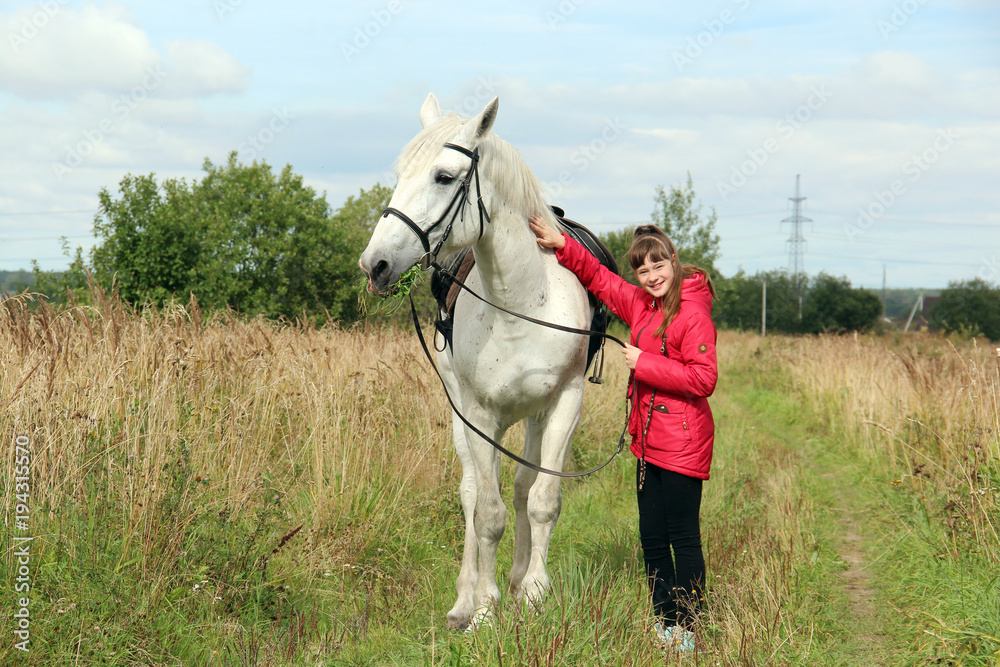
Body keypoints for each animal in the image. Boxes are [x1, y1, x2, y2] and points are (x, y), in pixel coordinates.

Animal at [360, 94, 592, 632]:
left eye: (444, 177)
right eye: (400, 173)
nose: (374, 264)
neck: (521, 304)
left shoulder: (565, 404)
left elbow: (543, 501)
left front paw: (533, 593)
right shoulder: (480, 414)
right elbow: (487, 512)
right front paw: (485, 609)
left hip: (531, 418)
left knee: (525, 488)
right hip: (465, 415)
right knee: (471, 492)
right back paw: (465, 599)